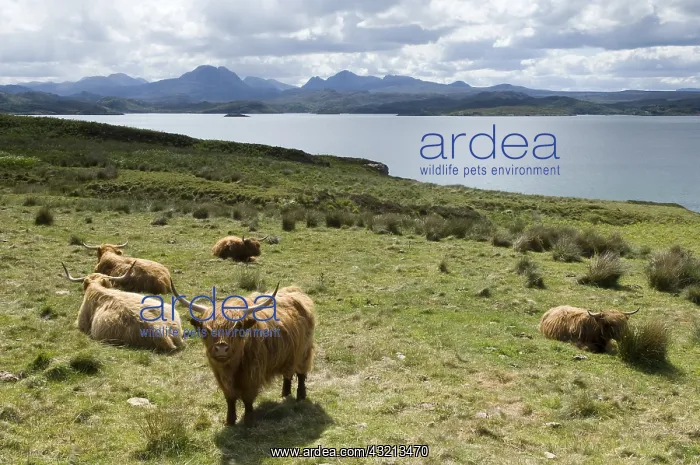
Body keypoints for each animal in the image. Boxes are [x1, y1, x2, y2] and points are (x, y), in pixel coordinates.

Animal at [171, 279, 315, 426]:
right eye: (206, 329)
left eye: (238, 326)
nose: (221, 348)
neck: (231, 368)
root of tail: (295, 290)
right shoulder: (220, 377)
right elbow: (229, 398)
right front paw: (230, 420)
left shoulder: (252, 375)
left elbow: (247, 399)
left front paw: (249, 421)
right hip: (288, 355)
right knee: (288, 374)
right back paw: (285, 394)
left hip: (304, 351)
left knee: (301, 373)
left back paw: (300, 396)